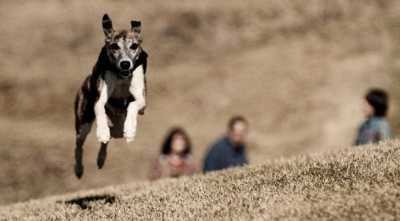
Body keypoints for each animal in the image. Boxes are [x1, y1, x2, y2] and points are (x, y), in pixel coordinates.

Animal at [73, 13, 147, 179]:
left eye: (134, 46)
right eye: (114, 46)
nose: (125, 64)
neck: (122, 77)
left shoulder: (142, 100)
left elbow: (134, 104)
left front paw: (130, 130)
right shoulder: (100, 97)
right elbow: (100, 107)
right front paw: (101, 131)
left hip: (117, 129)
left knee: (110, 138)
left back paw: (101, 158)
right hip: (83, 123)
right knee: (79, 144)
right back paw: (79, 169)